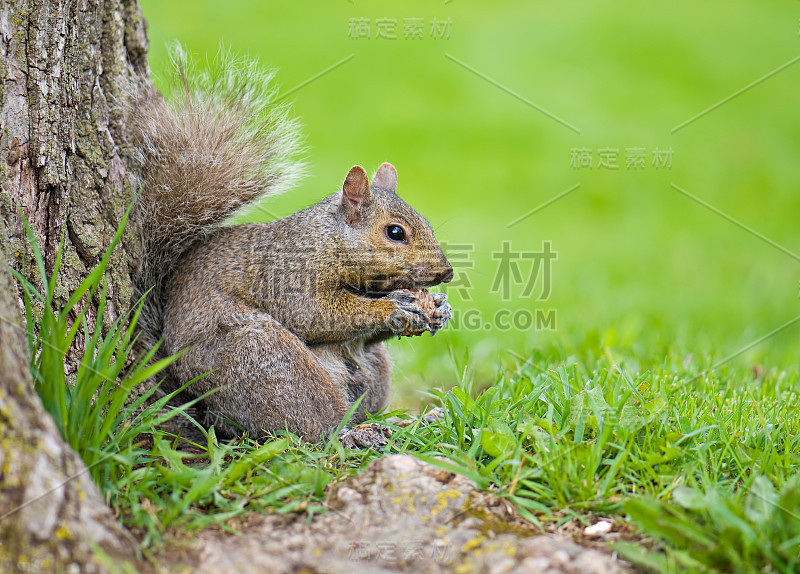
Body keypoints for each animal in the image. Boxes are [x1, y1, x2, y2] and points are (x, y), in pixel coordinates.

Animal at [134, 49, 454, 446]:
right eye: (395, 232)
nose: (446, 273)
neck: (328, 241)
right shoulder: (288, 274)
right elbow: (315, 314)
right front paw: (391, 309)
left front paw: (439, 307)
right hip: (268, 361)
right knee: (313, 427)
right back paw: (354, 434)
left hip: (372, 371)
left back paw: (401, 424)